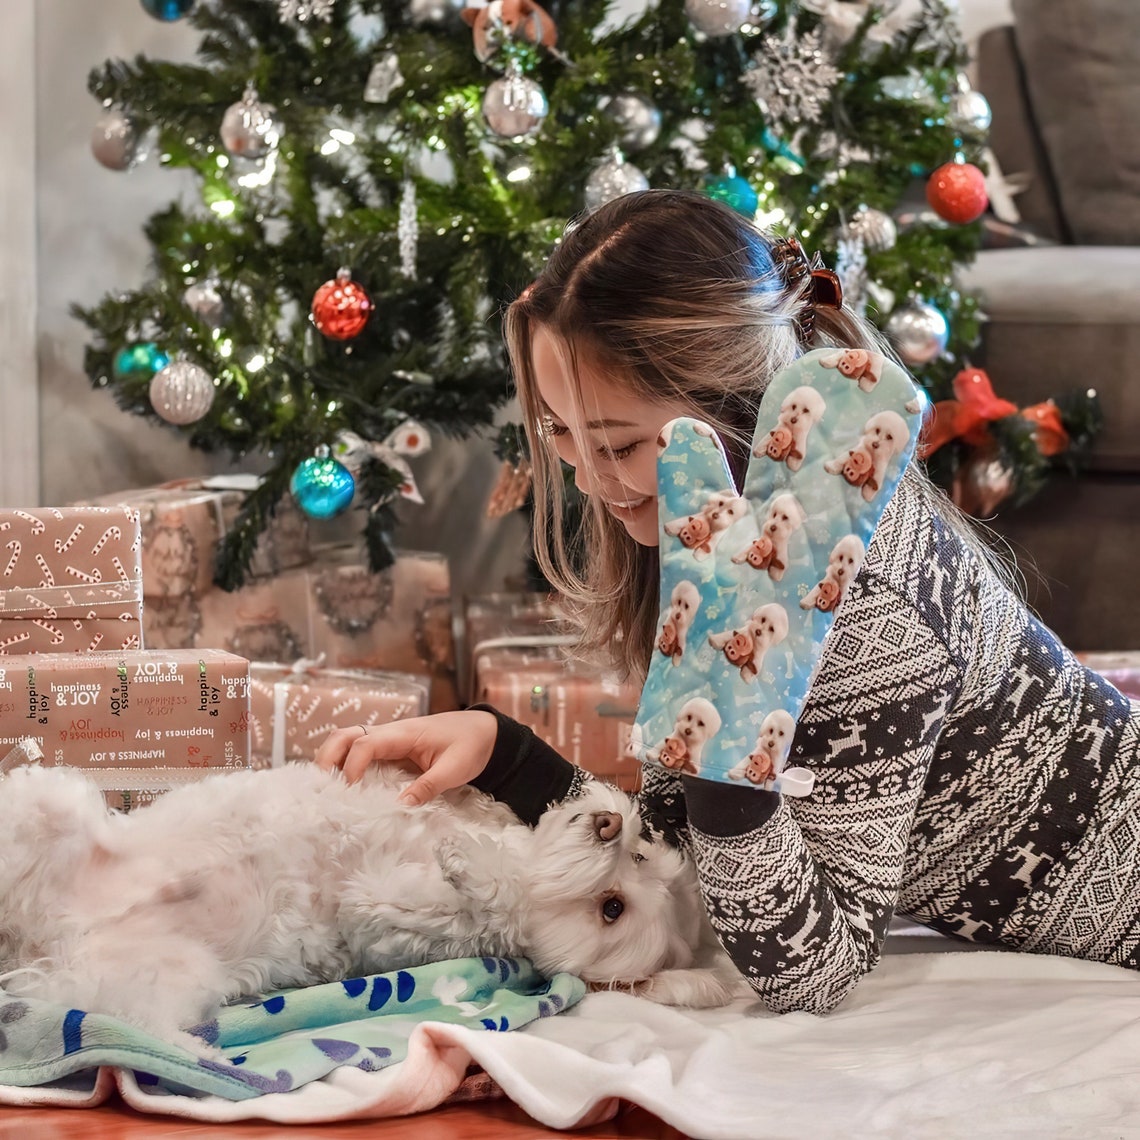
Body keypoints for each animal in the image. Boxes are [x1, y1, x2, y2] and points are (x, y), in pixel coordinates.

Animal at [0, 761, 738, 1044]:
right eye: (640, 852)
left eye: (613, 908)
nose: (611, 824)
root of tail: (48, 943)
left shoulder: (386, 921)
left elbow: (479, 904)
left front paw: (475, 868)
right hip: (43, 803)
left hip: (165, 981)